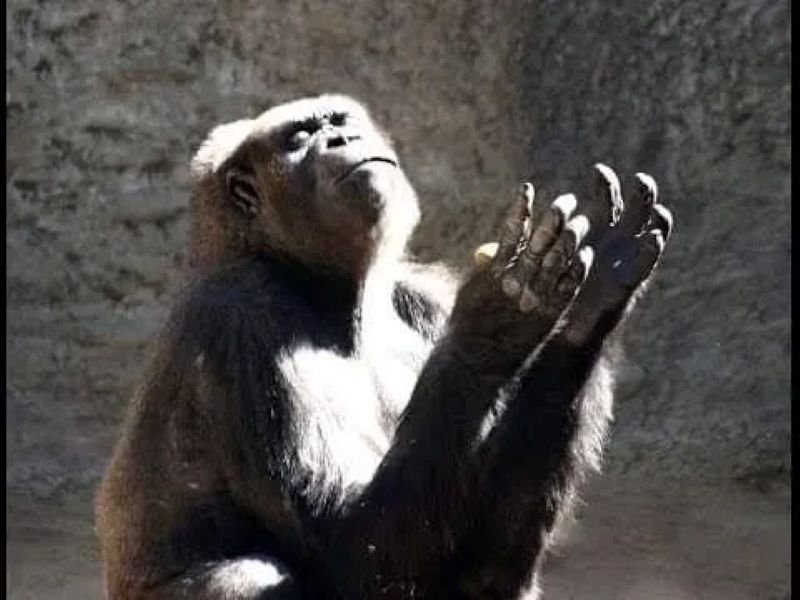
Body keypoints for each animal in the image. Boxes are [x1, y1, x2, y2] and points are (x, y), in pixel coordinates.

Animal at [95, 94, 673, 599]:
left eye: (341, 120)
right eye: (299, 138)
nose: (341, 139)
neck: (326, 289)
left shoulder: (425, 298)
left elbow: (487, 567)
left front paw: (595, 294)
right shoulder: (237, 317)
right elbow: (350, 548)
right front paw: (499, 317)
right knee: (246, 578)